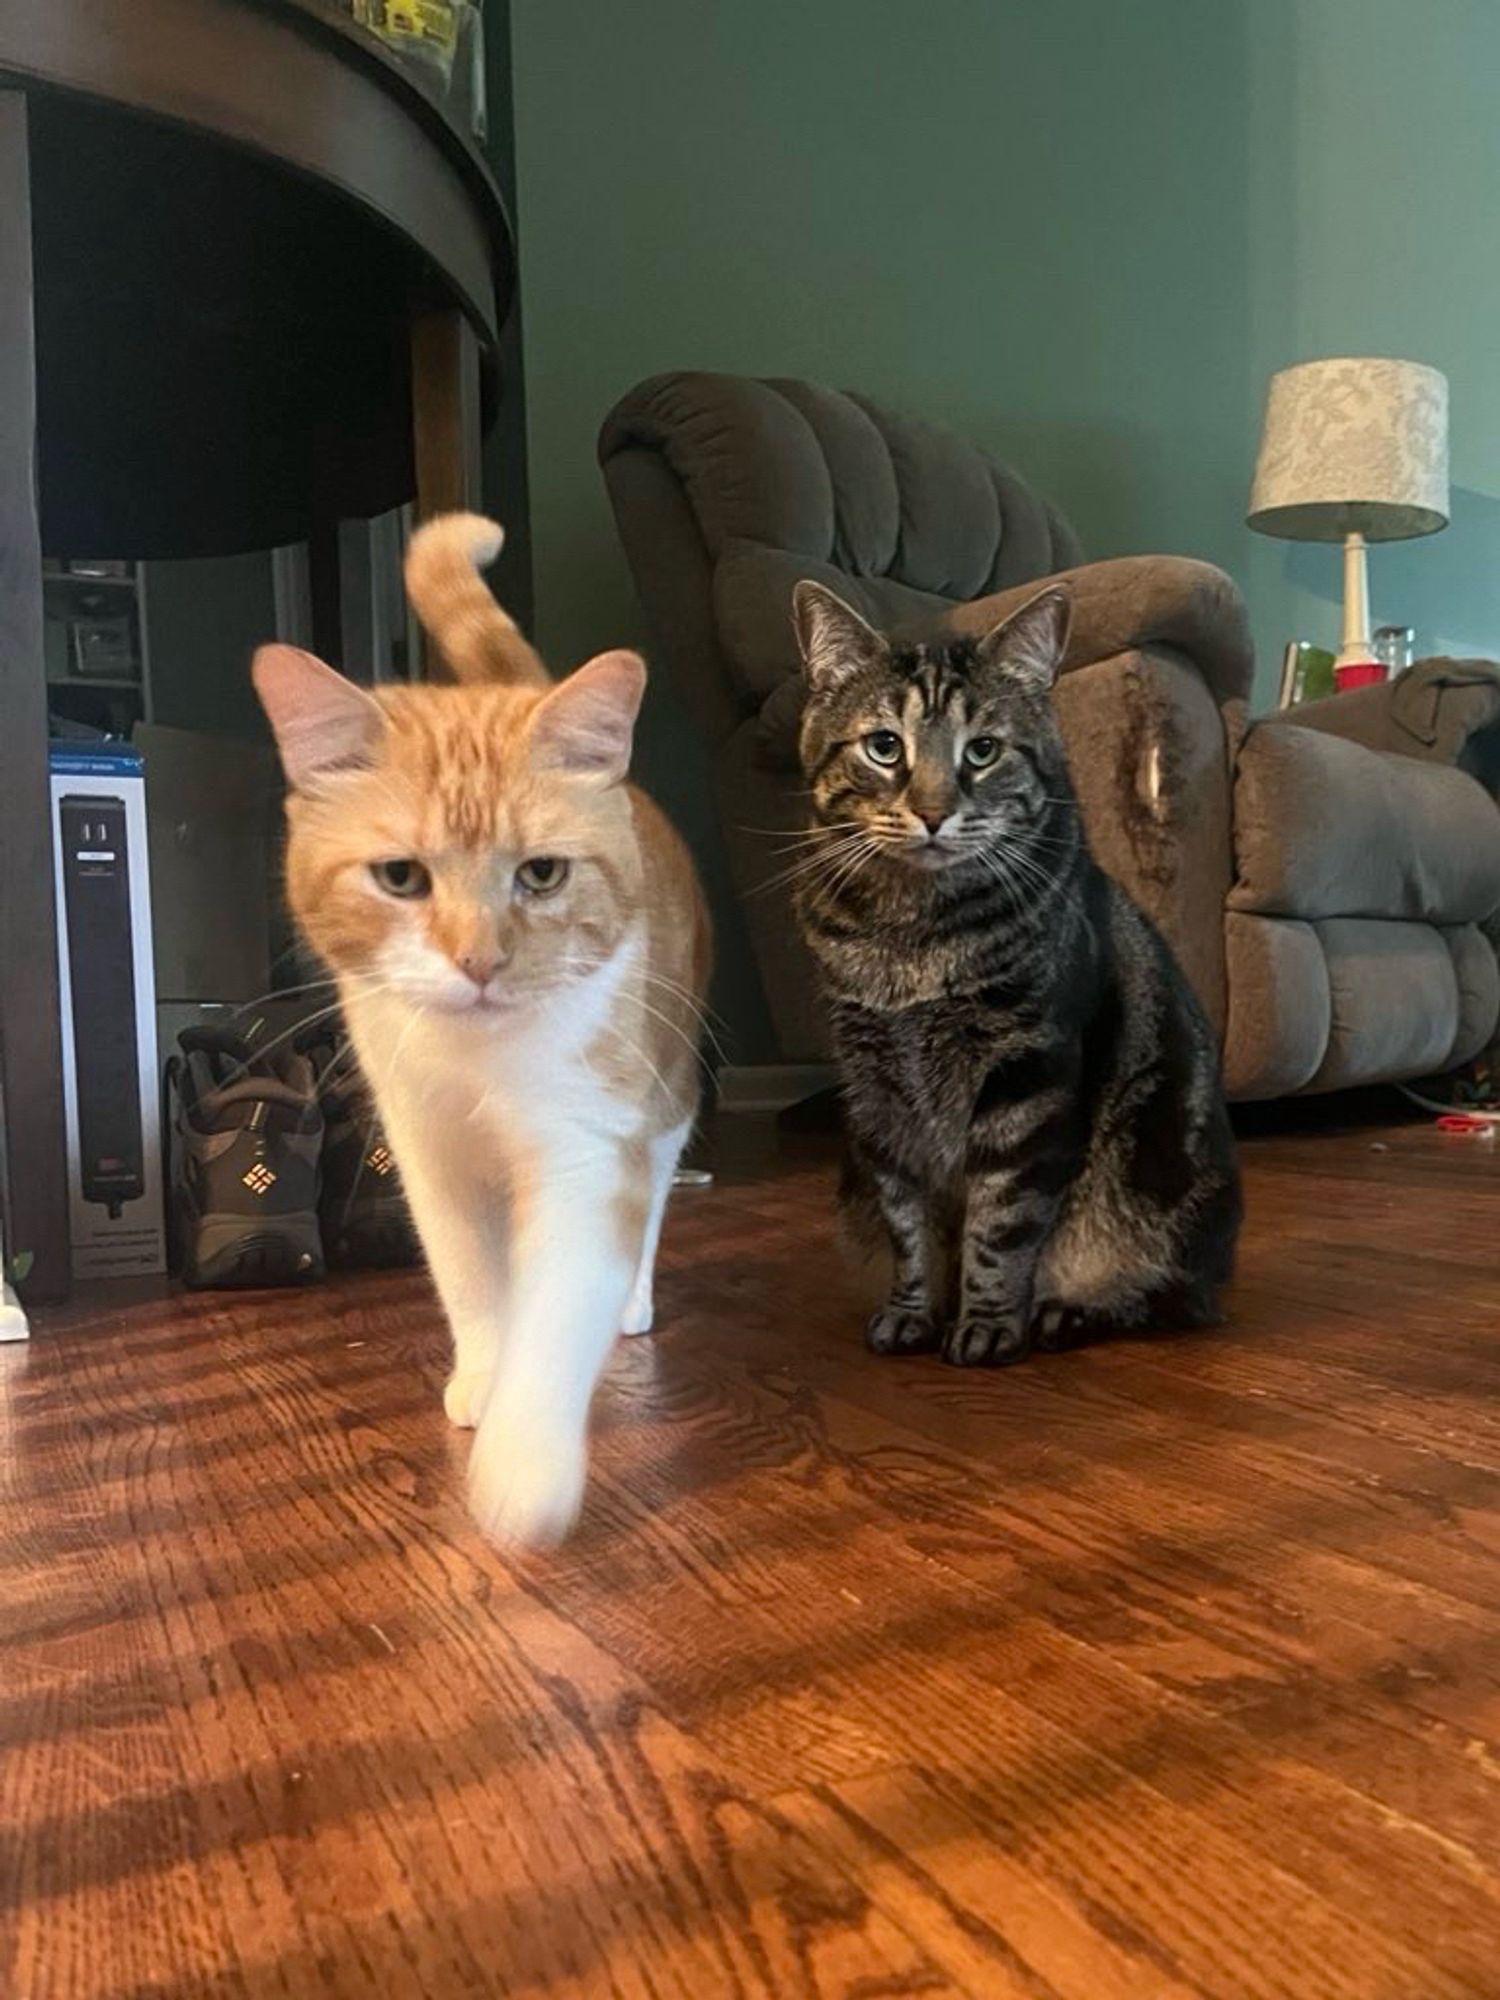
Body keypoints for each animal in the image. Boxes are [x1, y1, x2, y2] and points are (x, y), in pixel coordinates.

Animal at [253, 516, 712, 1544]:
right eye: (400, 878)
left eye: (540, 875)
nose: (479, 961)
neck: (480, 1065)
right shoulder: (429, 1156)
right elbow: (472, 1284)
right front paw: (484, 1377)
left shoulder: (589, 1151)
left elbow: (560, 1308)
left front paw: (523, 1461)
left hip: (665, 1099)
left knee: (656, 1200)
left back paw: (634, 1300)